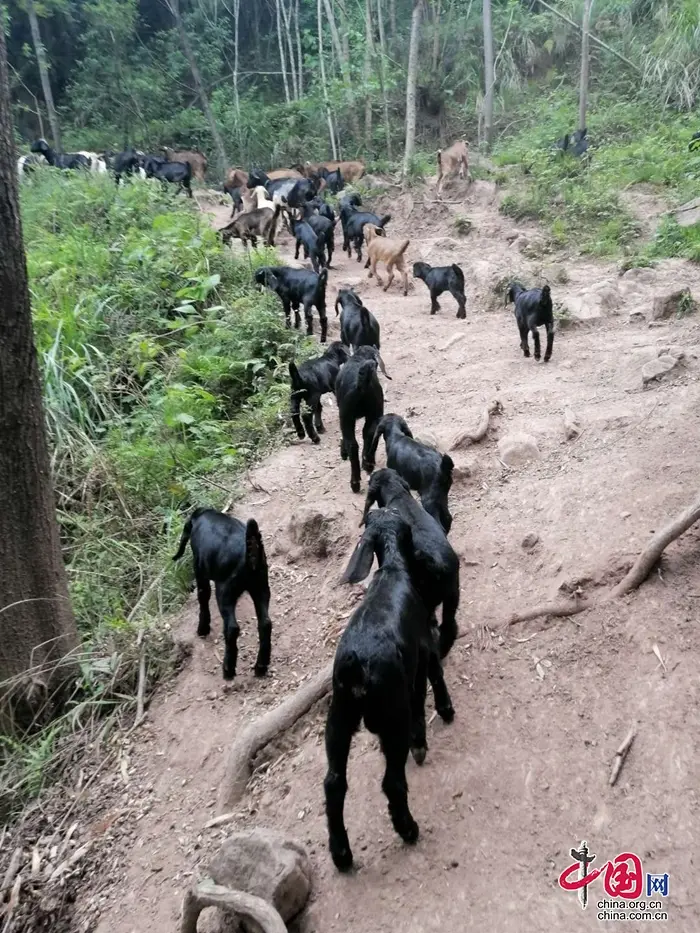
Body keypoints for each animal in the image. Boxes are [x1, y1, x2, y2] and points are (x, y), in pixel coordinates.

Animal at [172, 506, 274, 680]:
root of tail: (250, 552)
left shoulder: (199, 571)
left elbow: (203, 596)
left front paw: (202, 629)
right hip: (261, 588)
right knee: (265, 623)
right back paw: (260, 666)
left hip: (225, 593)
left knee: (232, 628)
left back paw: (228, 669)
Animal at [324, 506, 454, 872]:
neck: (393, 569)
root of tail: (355, 665)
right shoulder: (422, 649)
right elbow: (432, 680)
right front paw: (440, 717)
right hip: (392, 715)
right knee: (392, 782)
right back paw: (408, 829)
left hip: (338, 719)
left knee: (334, 783)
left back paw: (341, 854)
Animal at [334, 346, 388, 492]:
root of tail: (361, 385)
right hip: (375, 412)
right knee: (371, 433)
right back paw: (368, 463)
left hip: (346, 417)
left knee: (353, 445)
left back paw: (355, 482)